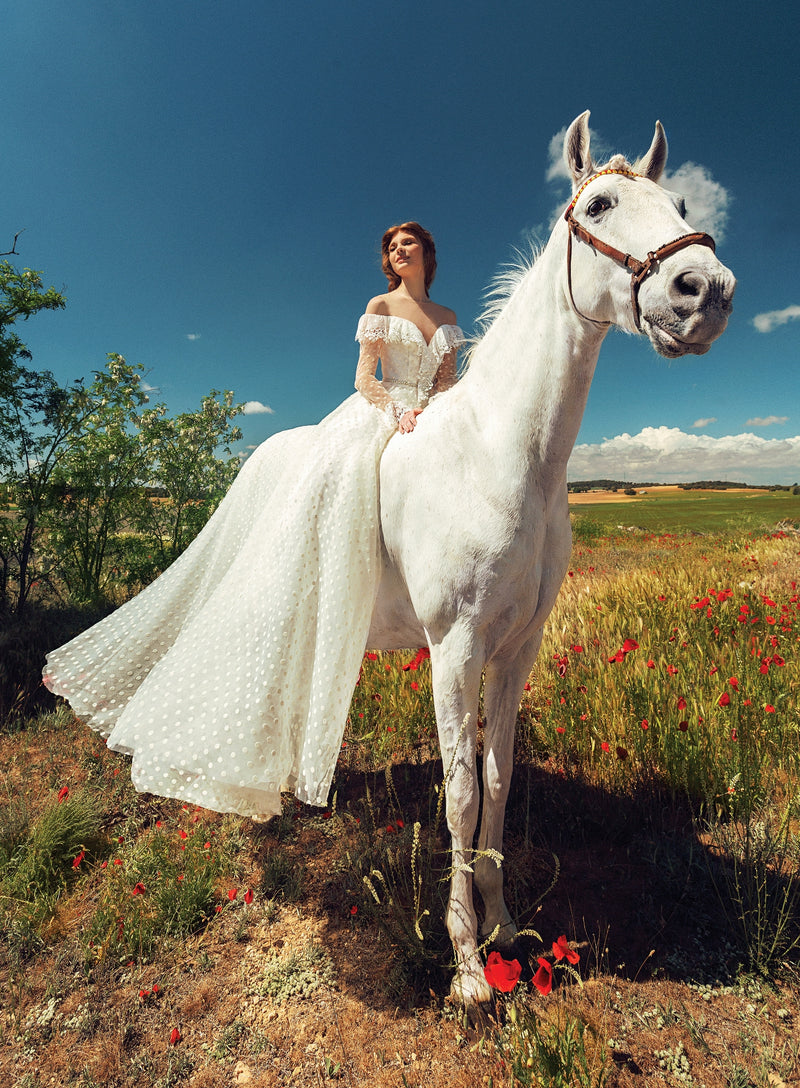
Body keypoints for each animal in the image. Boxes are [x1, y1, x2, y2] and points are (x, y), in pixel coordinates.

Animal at [365, 114, 735, 1005]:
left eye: (681, 203)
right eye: (597, 204)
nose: (706, 291)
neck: (503, 456)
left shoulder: (516, 648)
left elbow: (498, 780)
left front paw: (502, 925)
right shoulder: (453, 651)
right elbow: (460, 792)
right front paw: (467, 967)